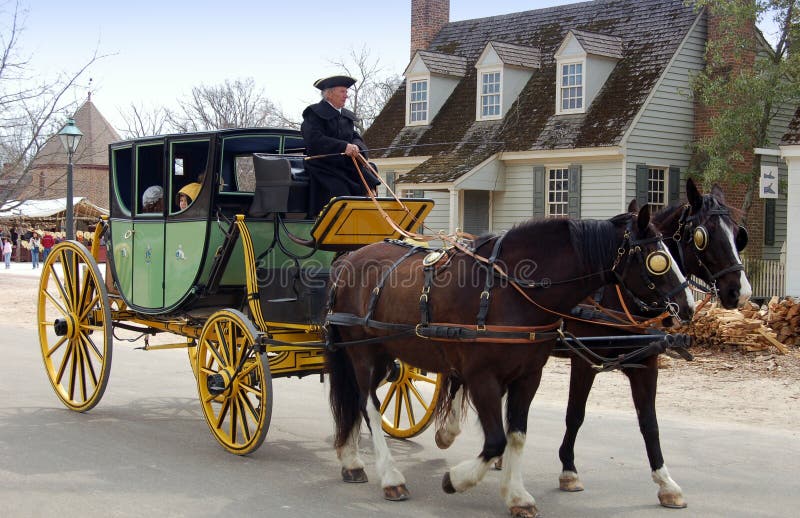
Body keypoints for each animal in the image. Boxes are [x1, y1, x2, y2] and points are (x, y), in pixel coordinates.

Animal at [324, 208, 692, 518]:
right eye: (658, 260)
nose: (687, 306)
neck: (510, 289)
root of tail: (349, 258)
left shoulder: (528, 376)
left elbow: (516, 435)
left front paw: (516, 495)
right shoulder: (483, 376)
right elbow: (495, 439)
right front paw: (456, 480)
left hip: (386, 354)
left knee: (357, 402)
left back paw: (351, 460)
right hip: (364, 354)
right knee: (368, 406)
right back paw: (390, 476)